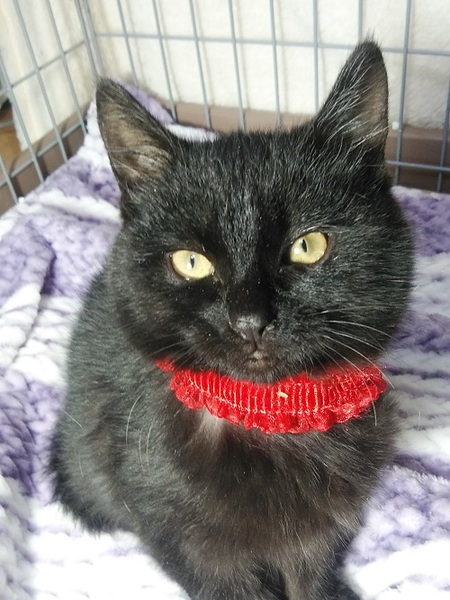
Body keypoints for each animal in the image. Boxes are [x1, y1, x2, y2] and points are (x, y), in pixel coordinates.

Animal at [50, 41, 413, 600]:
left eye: (308, 246)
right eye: (190, 261)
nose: (250, 321)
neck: (272, 415)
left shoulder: (319, 534)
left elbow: (311, 571)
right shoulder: (189, 542)